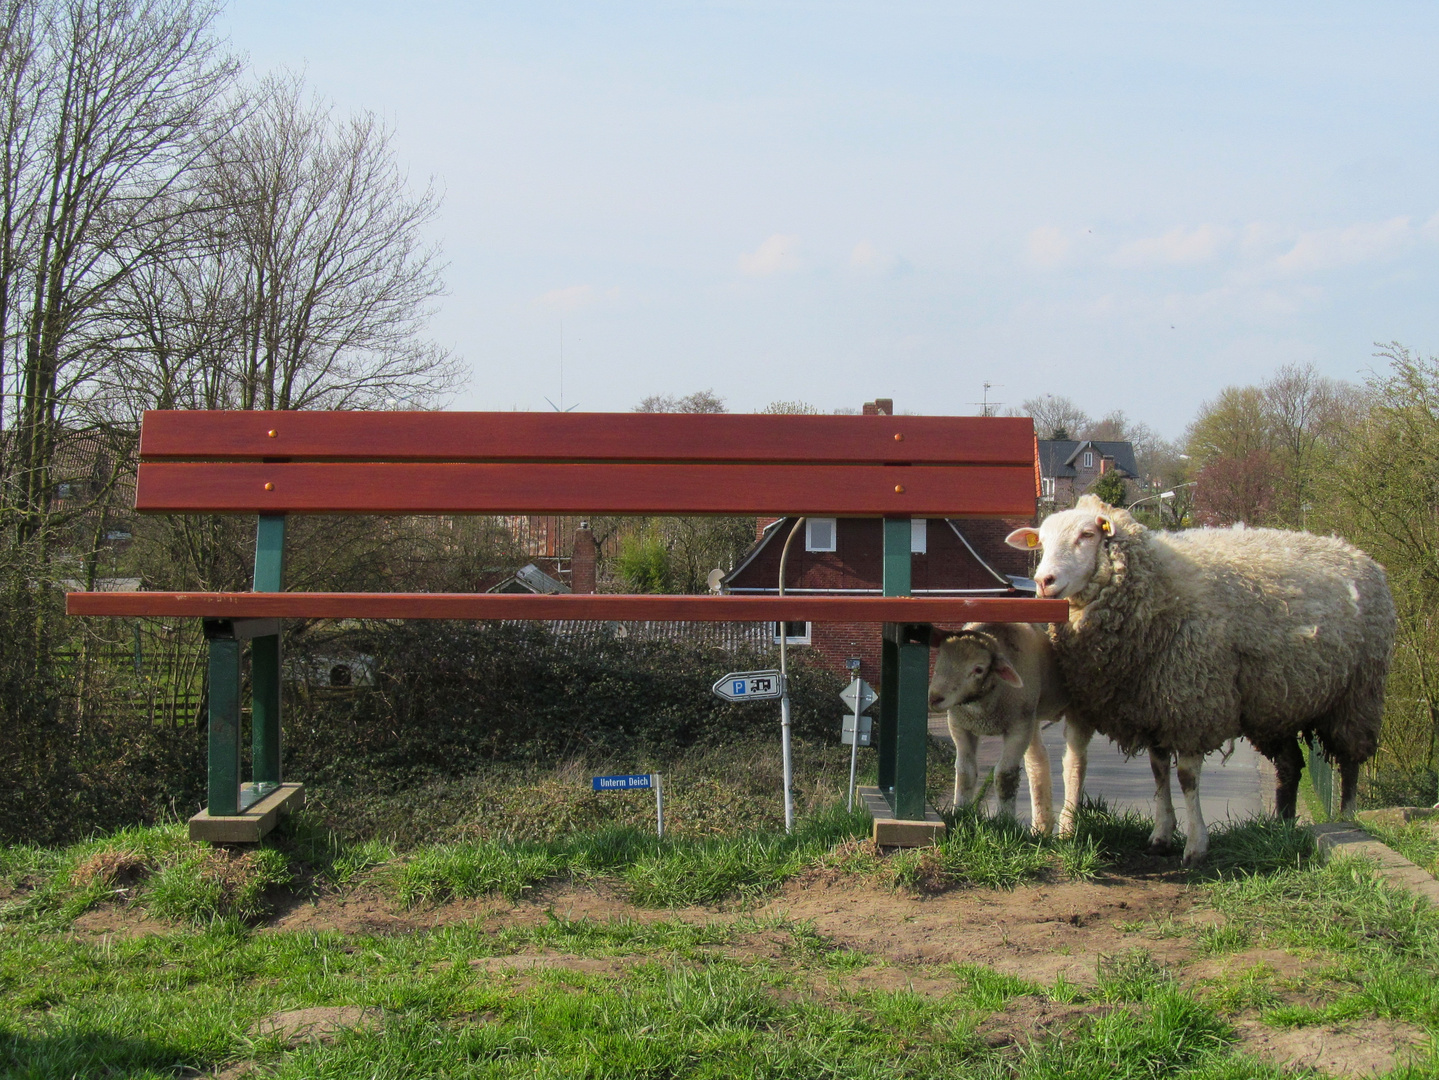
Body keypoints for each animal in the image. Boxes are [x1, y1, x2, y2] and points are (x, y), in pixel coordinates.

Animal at [920, 621, 1070, 834]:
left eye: (978, 669)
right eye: (940, 657)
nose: (934, 698)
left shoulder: (1019, 727)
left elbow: (1005, 774)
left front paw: (1005, 821)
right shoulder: (960, 725)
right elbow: (965, 770)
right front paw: (960, 812)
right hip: (1033, 715)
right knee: (1038, 759)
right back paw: (1042, 826)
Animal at [1001, 494, 1392, 868]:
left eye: (1087, 535)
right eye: (1041, 541)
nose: (1043, 581)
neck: (1158, 588)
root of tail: (1356, 552)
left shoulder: (1191, 701)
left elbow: (1187, 778)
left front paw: (1195, 846)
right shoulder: (1152, 704)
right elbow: (1159, 771)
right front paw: (1161, 836)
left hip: (1357, 694)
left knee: (1350, 763)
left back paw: (1347, 820)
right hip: (1276, 704)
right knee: (1290, 766)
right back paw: (1281, 826)